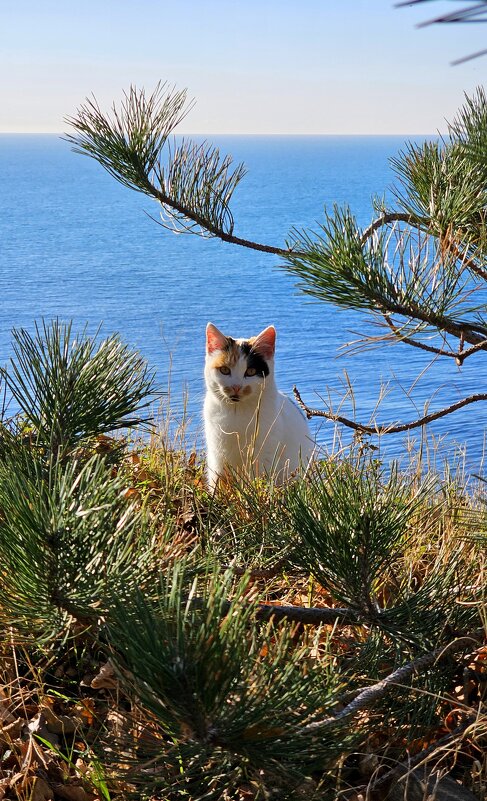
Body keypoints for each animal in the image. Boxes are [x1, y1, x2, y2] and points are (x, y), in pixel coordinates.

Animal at [204, 322, 314, 490]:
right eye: (224, 370)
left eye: (250, 371)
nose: (236, 387)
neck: (238, 412)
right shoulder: (217, 456)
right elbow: (217, 483)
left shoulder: (264, 456)